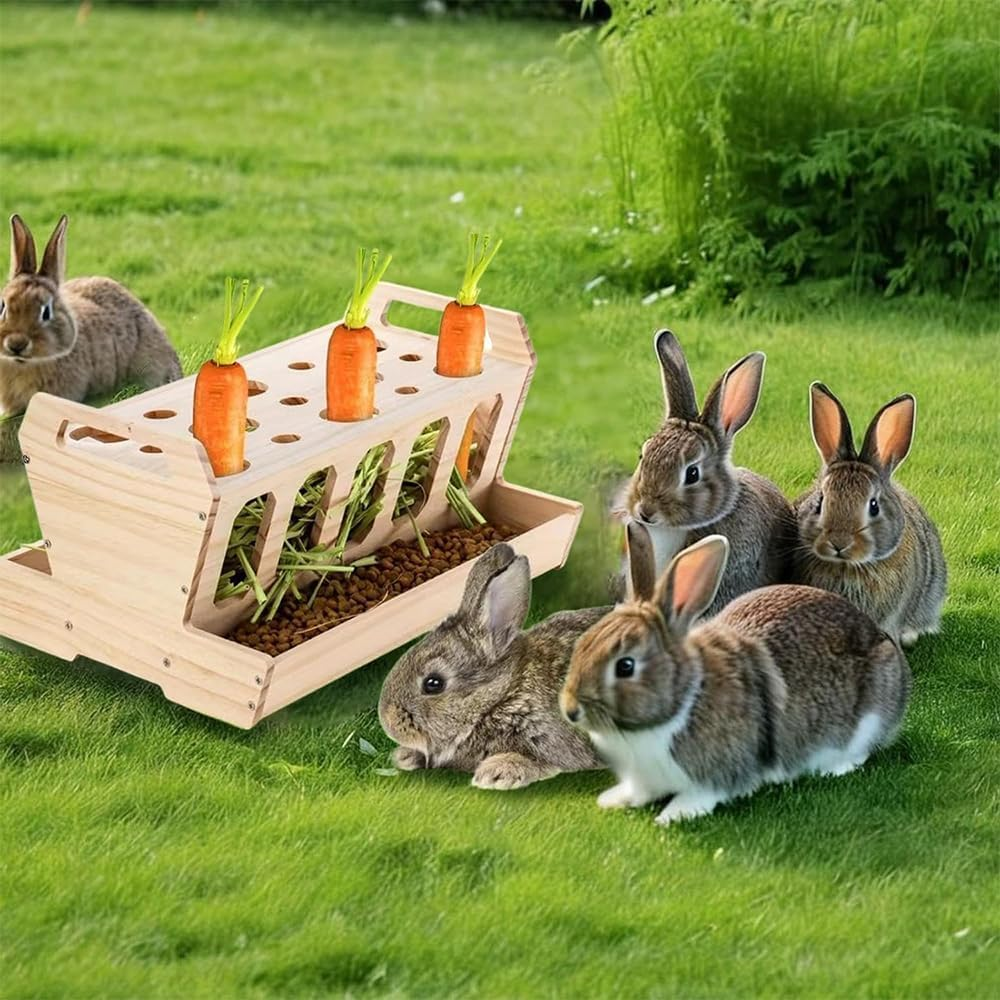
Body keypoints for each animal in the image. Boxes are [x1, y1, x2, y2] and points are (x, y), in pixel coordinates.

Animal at [560, 523, 911, 826]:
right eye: (583, 643)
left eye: (625, 666)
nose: (571, 710)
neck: (682, 700)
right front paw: (613, 799)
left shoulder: (717, 772)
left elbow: (701, 794)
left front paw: (672, 815)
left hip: (870, 712)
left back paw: (835, 767)